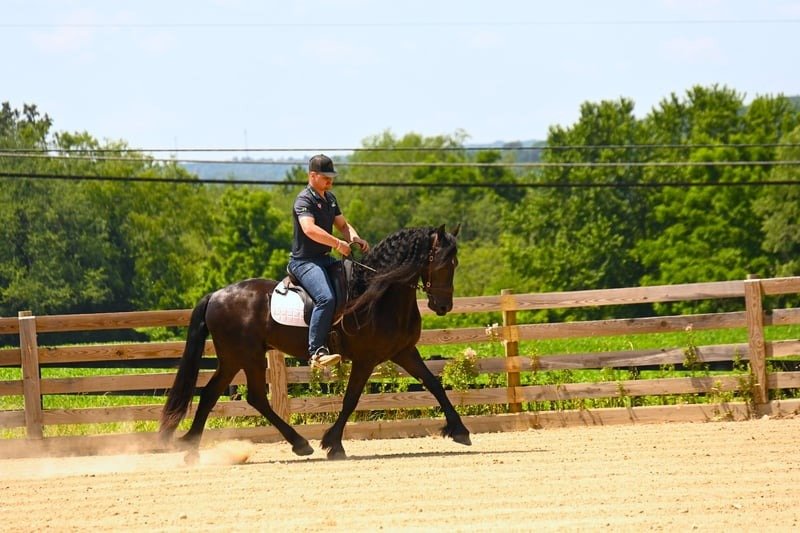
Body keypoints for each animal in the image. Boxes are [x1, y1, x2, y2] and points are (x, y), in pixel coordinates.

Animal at [159, 224, 471, 461]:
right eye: (441, 263)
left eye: (455, 263)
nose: (443, 306)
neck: (378, 294)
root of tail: (216, 295)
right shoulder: (365, 359)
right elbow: (351, 399)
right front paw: (333, 444)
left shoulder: (404, 352)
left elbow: (434, 384)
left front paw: (460, 431)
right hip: (245, 357)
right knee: (249, 397)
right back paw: (297, 444)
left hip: (235, 359)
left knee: (217, 394)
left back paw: (194, 450)